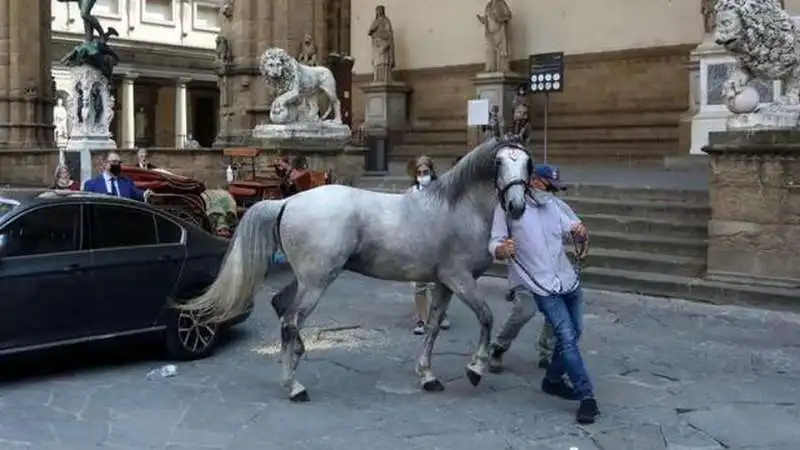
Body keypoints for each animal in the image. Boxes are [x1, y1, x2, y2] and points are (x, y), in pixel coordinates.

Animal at [179, 136, 536, 400]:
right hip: (316, 282)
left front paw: (428, 376)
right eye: (499, 162)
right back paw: (294, 386)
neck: (457, 208)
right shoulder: (460, 279)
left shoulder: (444, 283)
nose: (517, 206)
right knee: (291, 319)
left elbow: (434, 326)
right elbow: (487, 318)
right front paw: (476, 370)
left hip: (305, 278)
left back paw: (295, 357)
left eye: (527, 162)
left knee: (281, 307)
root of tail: (287, 201)